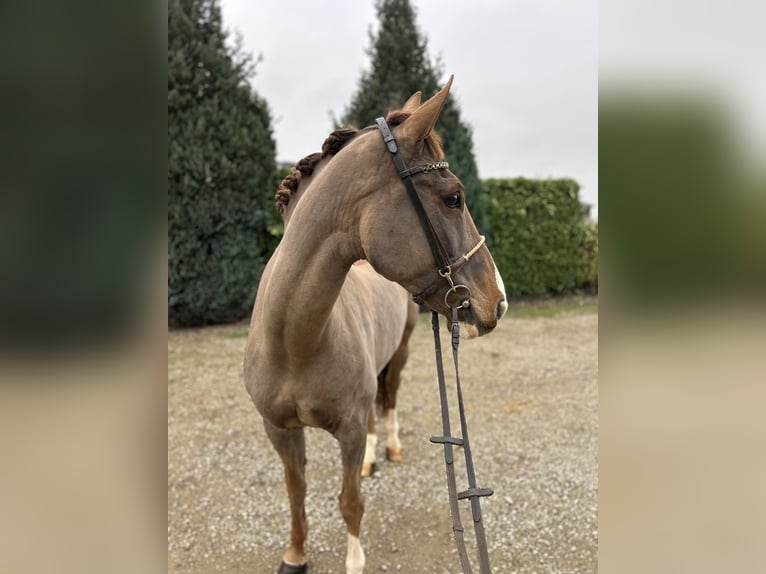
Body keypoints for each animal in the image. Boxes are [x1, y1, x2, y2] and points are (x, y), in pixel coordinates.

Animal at [246, 77, 508, 574]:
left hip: (399, 356)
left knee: (387, 404)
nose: (498, 299)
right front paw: (296, 555)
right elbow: (296, 492)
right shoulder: (278, 431)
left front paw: (353, 560)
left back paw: (388, 448)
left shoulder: (346, 433)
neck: (296, 342)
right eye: (453, 197)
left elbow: (350, 502)